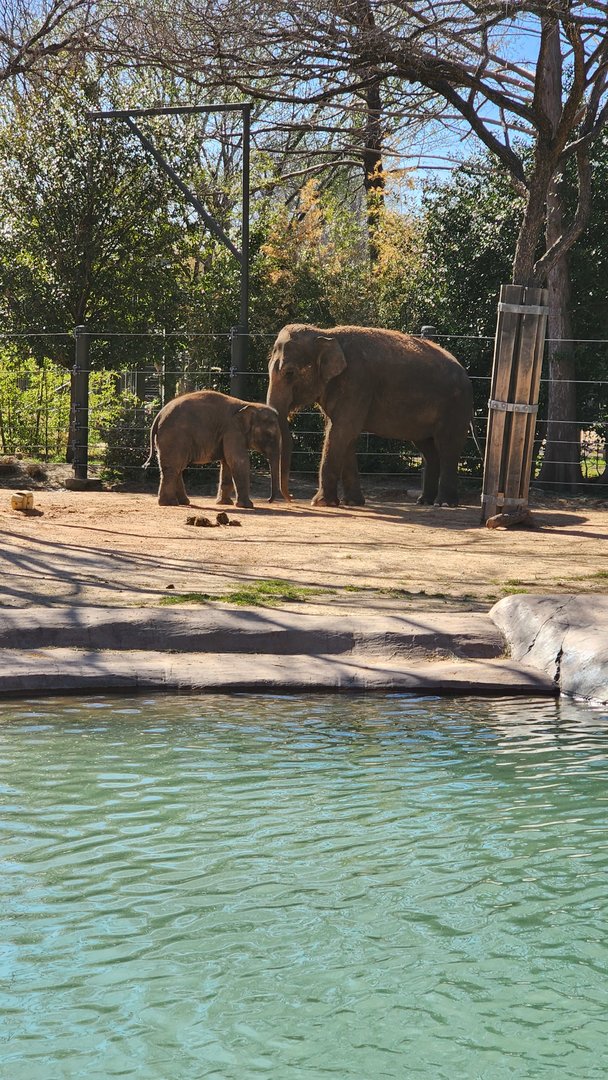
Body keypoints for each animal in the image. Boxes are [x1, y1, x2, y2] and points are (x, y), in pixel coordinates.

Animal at [143, 389, 288, 508]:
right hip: (174, 437)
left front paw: (224, 503)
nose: (269, 500)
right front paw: (247, 506)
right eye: (270, 435)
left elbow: (227, 463)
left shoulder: (229, 433)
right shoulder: (232, 431)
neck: (248, 405)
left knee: (177, 467)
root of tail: (159, 415)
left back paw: (183, 502)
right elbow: (238, 462)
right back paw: (170, 503)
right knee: (173, 467)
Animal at [266, 323, 474, 507]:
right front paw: (351, 502)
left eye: (289, 373)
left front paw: (321, 503)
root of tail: (465, 372)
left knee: (447, 446)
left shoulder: (357, 381)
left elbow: (342, 431)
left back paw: (444, 503)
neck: (325, 334)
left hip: (456, 406)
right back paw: (424, 502)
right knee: (428, 449)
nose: (291, 499)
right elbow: (343, 434)